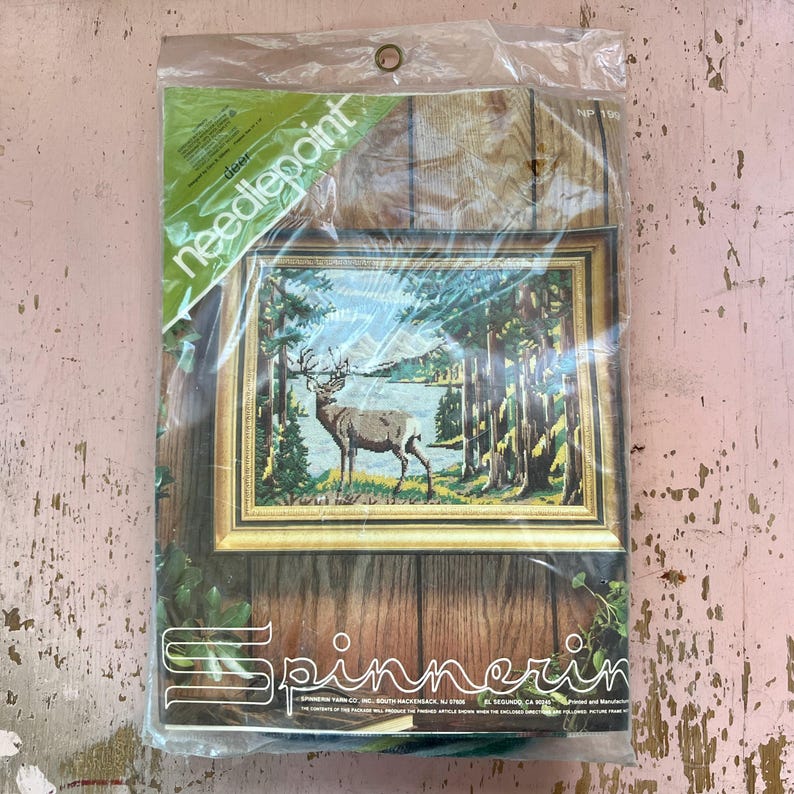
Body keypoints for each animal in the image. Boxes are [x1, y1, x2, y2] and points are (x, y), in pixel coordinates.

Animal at [296, 348, 434, 502]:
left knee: (406, 461)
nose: (331, 399)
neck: (334, 419)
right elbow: (352, 465)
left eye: (331, 390)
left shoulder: (344, 438)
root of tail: (416, 423)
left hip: (398, 441)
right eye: (320, 391)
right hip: (412, 442)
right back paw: (430, 494)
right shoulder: (354, 443)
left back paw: (397, 490)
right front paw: (350, 487)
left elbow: (343, 464)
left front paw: (341, 488)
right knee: (427, 459)